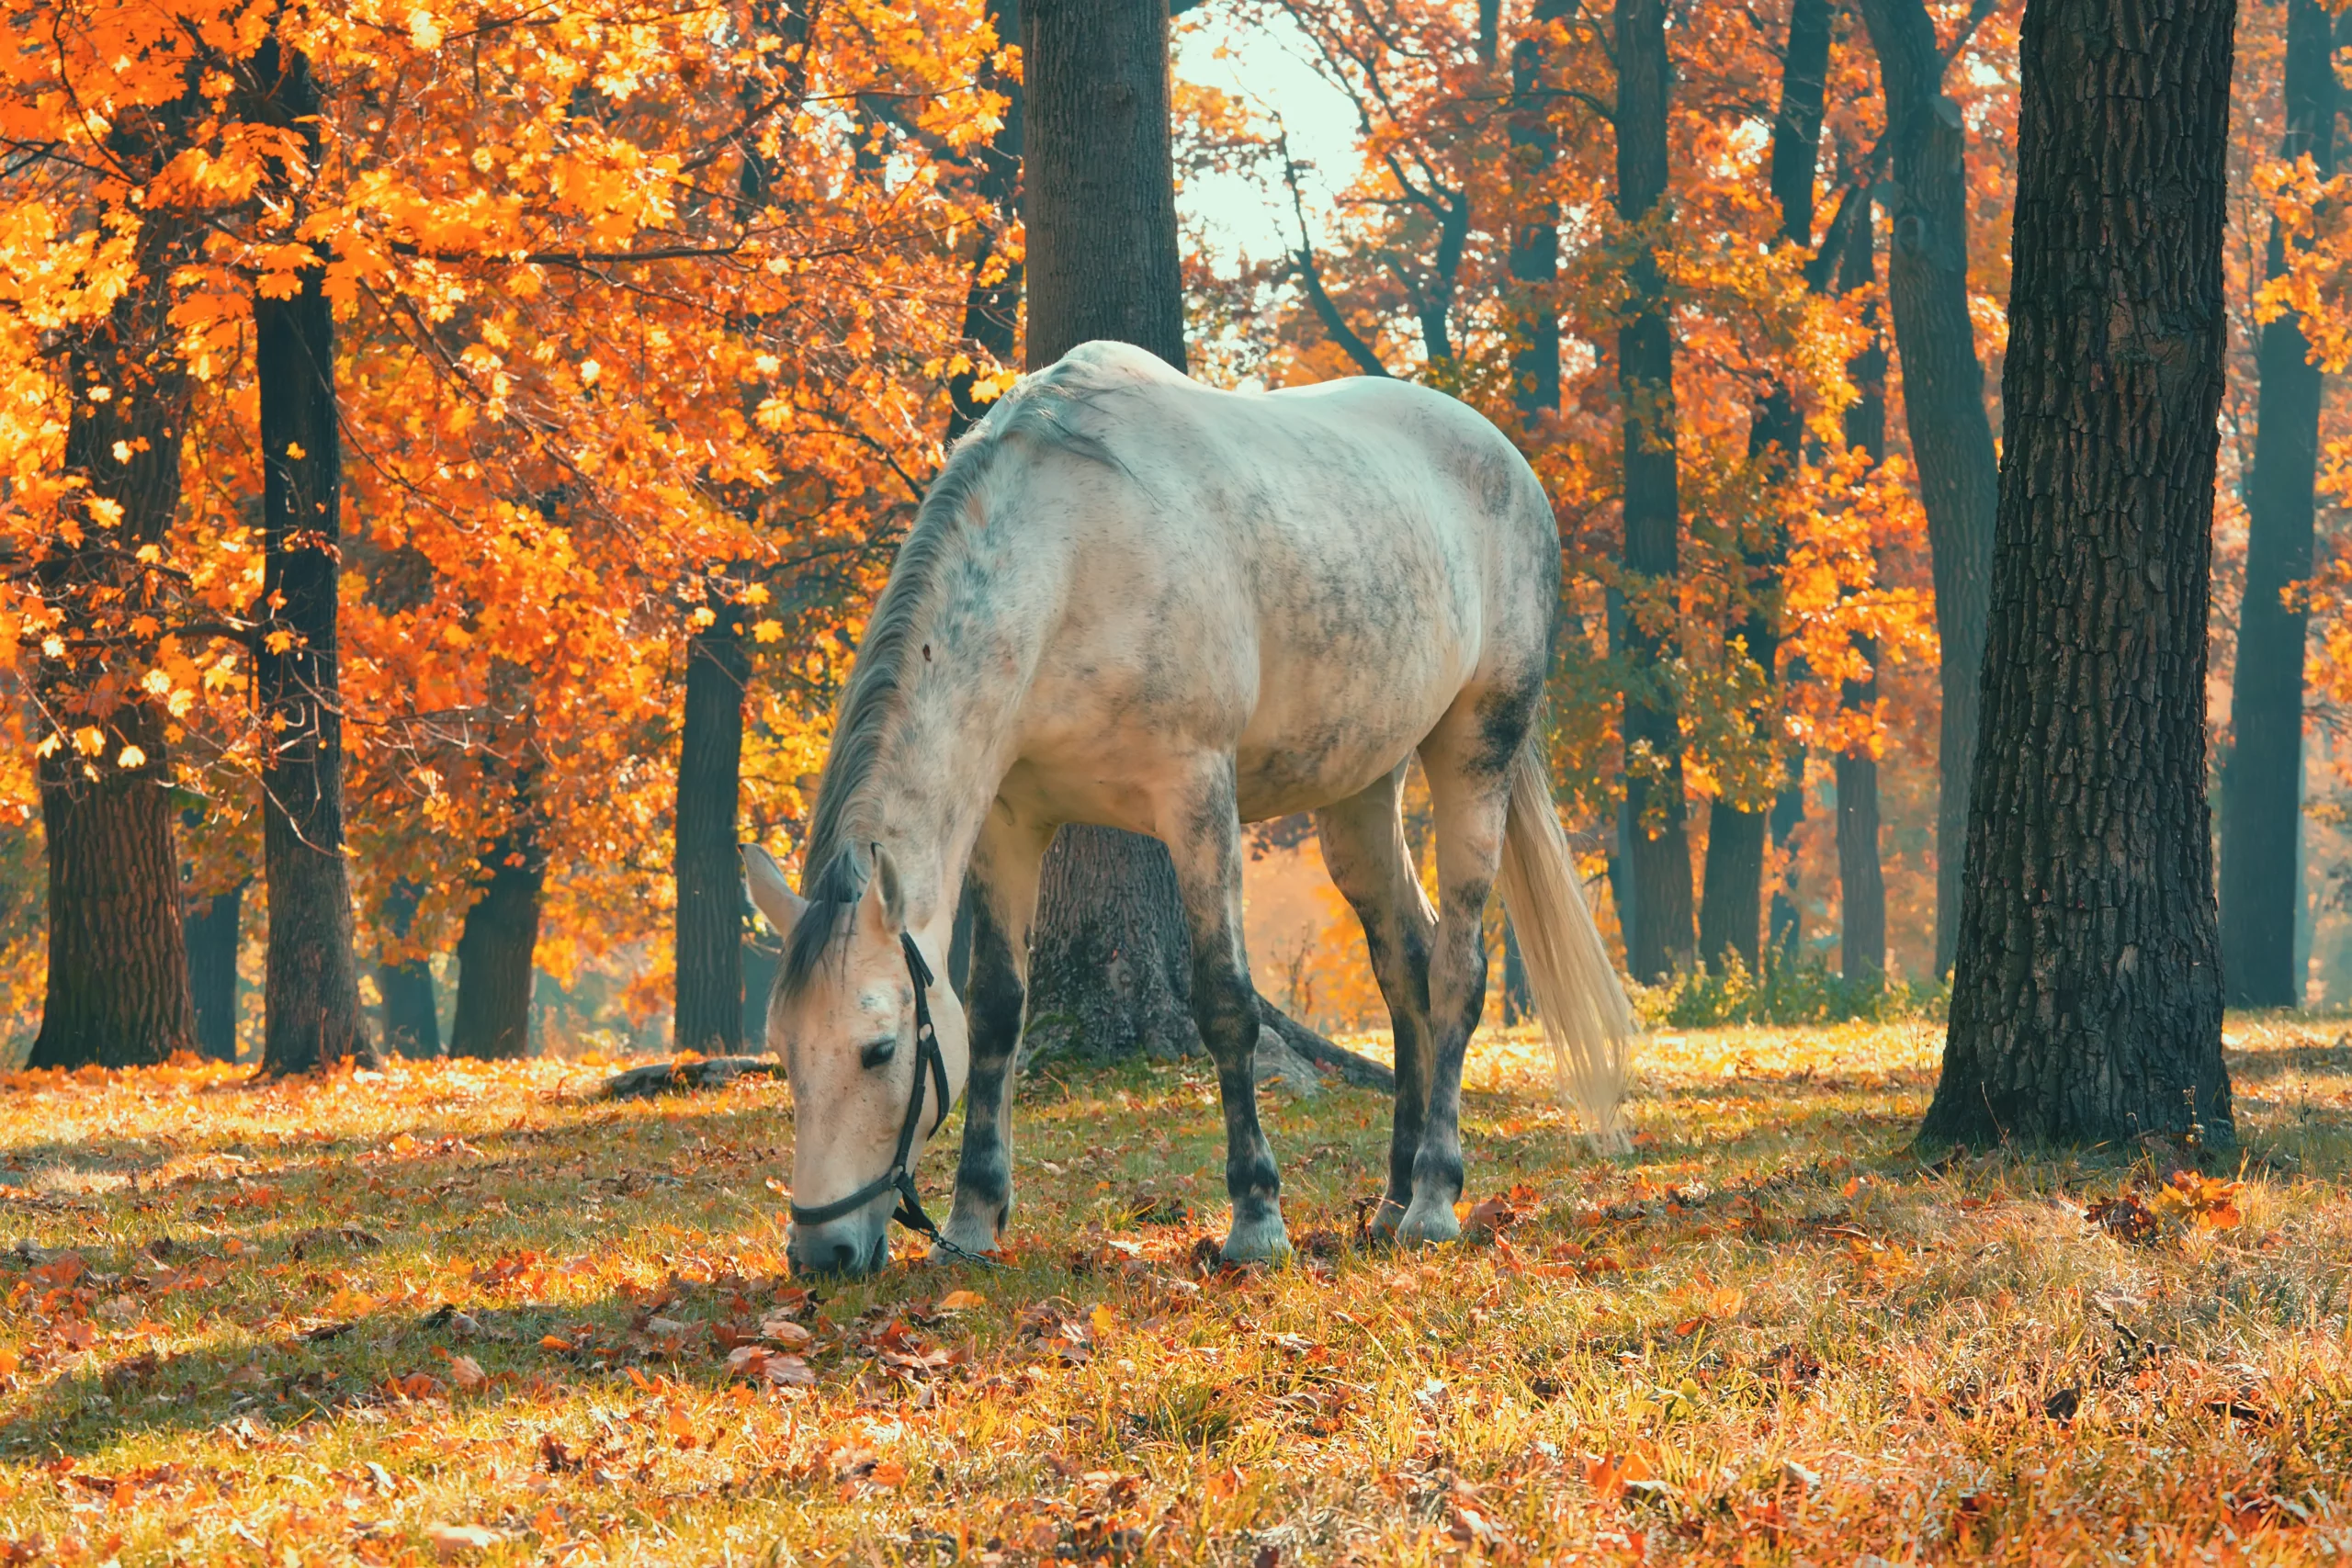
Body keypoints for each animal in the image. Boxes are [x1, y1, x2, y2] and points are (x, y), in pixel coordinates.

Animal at [742, 341, 1627, 1279]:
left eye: (878, 1049)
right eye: (786, 1051)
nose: (820, 1252)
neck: (1072, 550)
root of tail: (1507, 461)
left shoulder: (1197, 793)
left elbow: (1226, 1002)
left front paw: (1257, 1218)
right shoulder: (1011, 821)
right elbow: (995, 1011)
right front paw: (975, 1218)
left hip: (1476, 749)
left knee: (1457, 971)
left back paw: (1432, 1198)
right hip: (1359, 790)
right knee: (1406, 966)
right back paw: (1390, 1200)